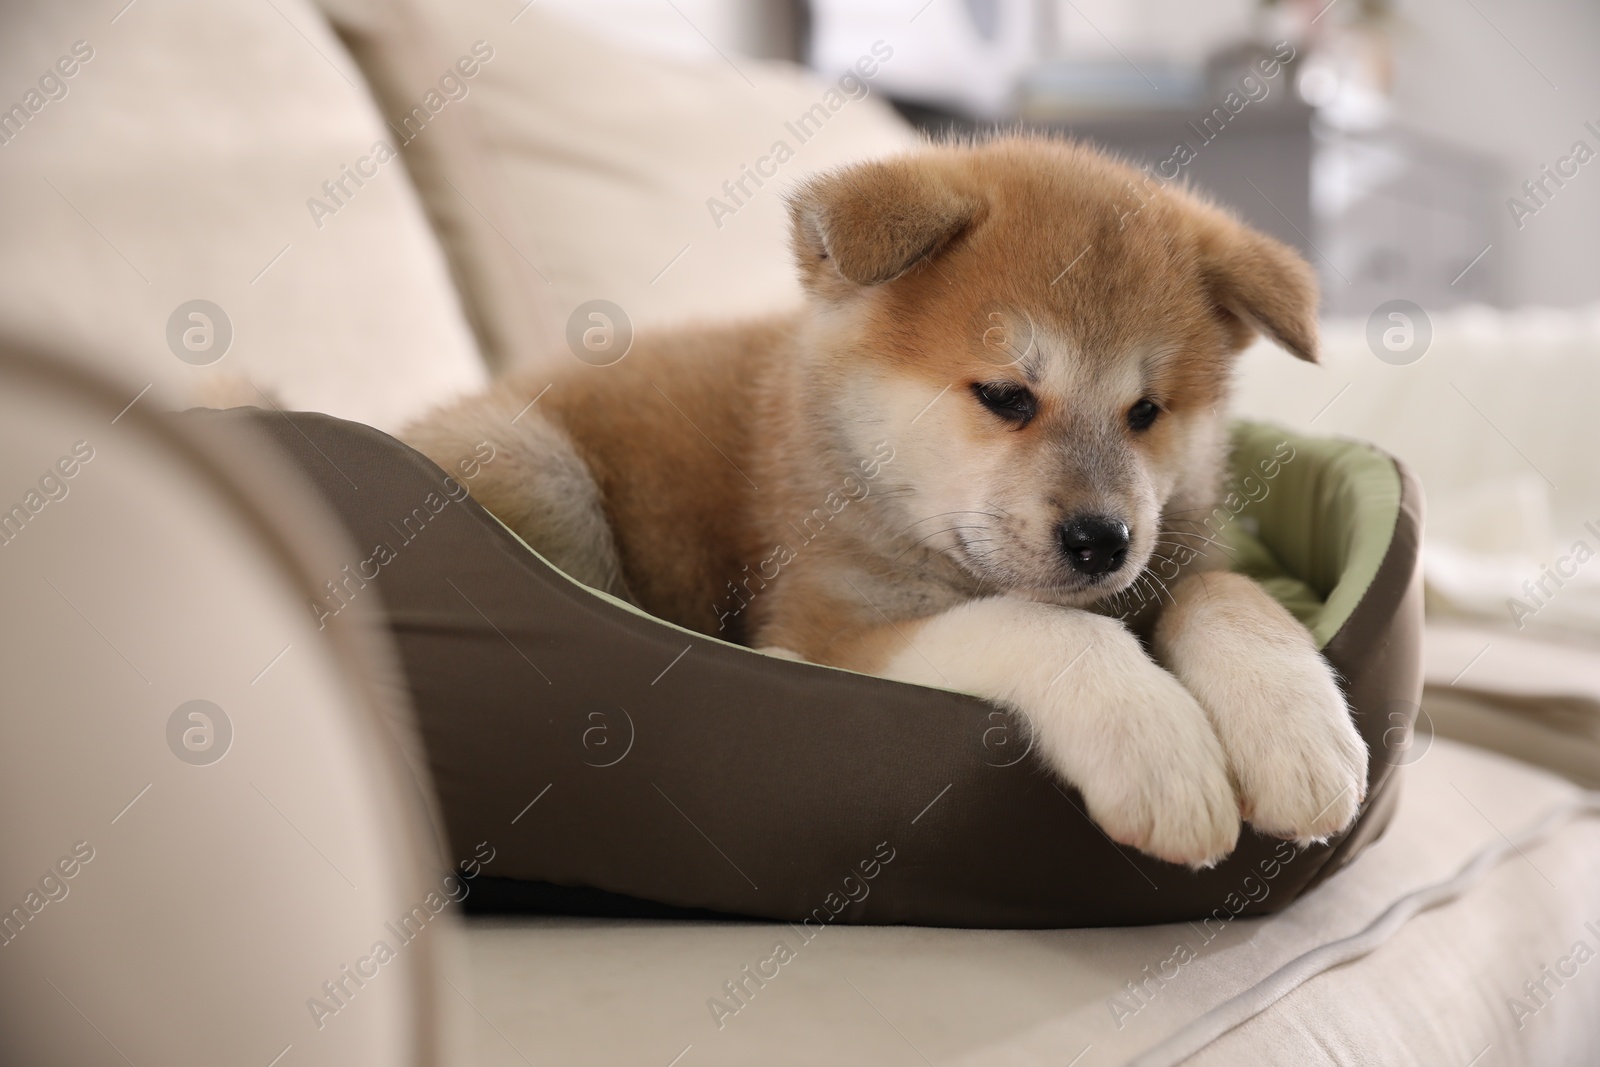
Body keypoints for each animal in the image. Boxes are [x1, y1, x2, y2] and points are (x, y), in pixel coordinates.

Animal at [406, 135, 1369, 870]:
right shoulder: (831, 632)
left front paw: (1299, 732)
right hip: (539, 468)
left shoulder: (1181, 558)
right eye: (1005, 396)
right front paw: (1157, 743)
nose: (1104, 539)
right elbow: (1041, 625)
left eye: (1147, 412)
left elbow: (1229, 594)